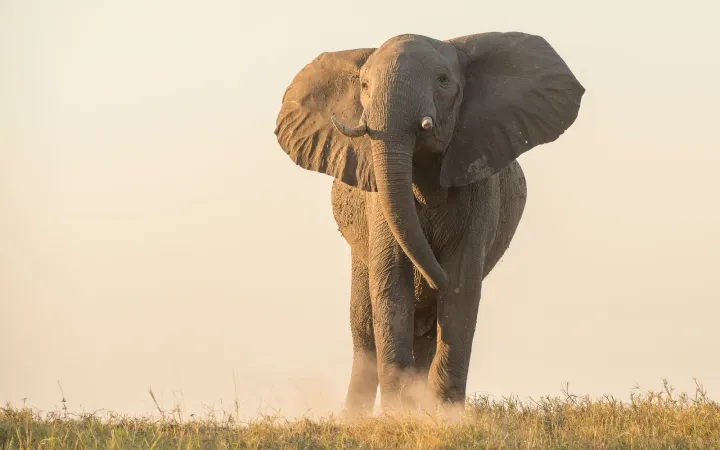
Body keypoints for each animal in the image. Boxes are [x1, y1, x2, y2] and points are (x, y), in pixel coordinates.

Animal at [274, 32, 584, 418]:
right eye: (364, 85)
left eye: (443, 80)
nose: (434, 280)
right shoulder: (377, 199)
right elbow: (392, 283)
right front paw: (396, 416)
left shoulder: (479, 183)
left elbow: (462, 286)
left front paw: (446, 418)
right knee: (364, 328)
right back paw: (357, 419)